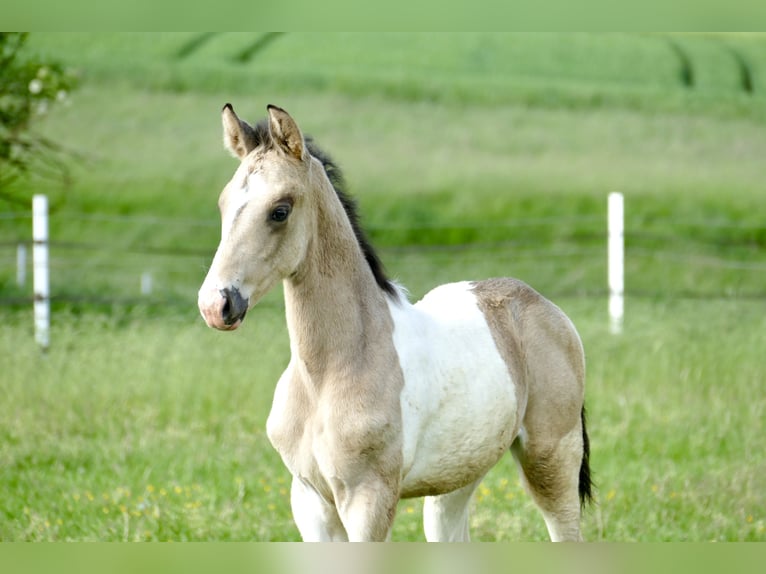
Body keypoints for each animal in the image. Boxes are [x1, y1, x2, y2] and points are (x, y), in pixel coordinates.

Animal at [200, 104, 592, 544]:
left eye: (279, 210)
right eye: (223, 204)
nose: (216, 304)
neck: (331, 372)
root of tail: (543, 306)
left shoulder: (368, 499)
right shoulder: (309, 500)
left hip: (552, 459)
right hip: (458, 476)